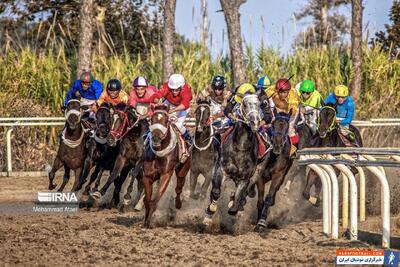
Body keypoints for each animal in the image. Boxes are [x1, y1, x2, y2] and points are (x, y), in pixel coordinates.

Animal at [205, 93, 260, 222]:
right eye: (244, 104)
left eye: (260, 104)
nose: (255, 122)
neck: (240, 148)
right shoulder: (222, 169)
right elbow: (216, 191)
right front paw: (211, 209)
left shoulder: (245, 178)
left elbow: (237, 199)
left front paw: (234, 206)